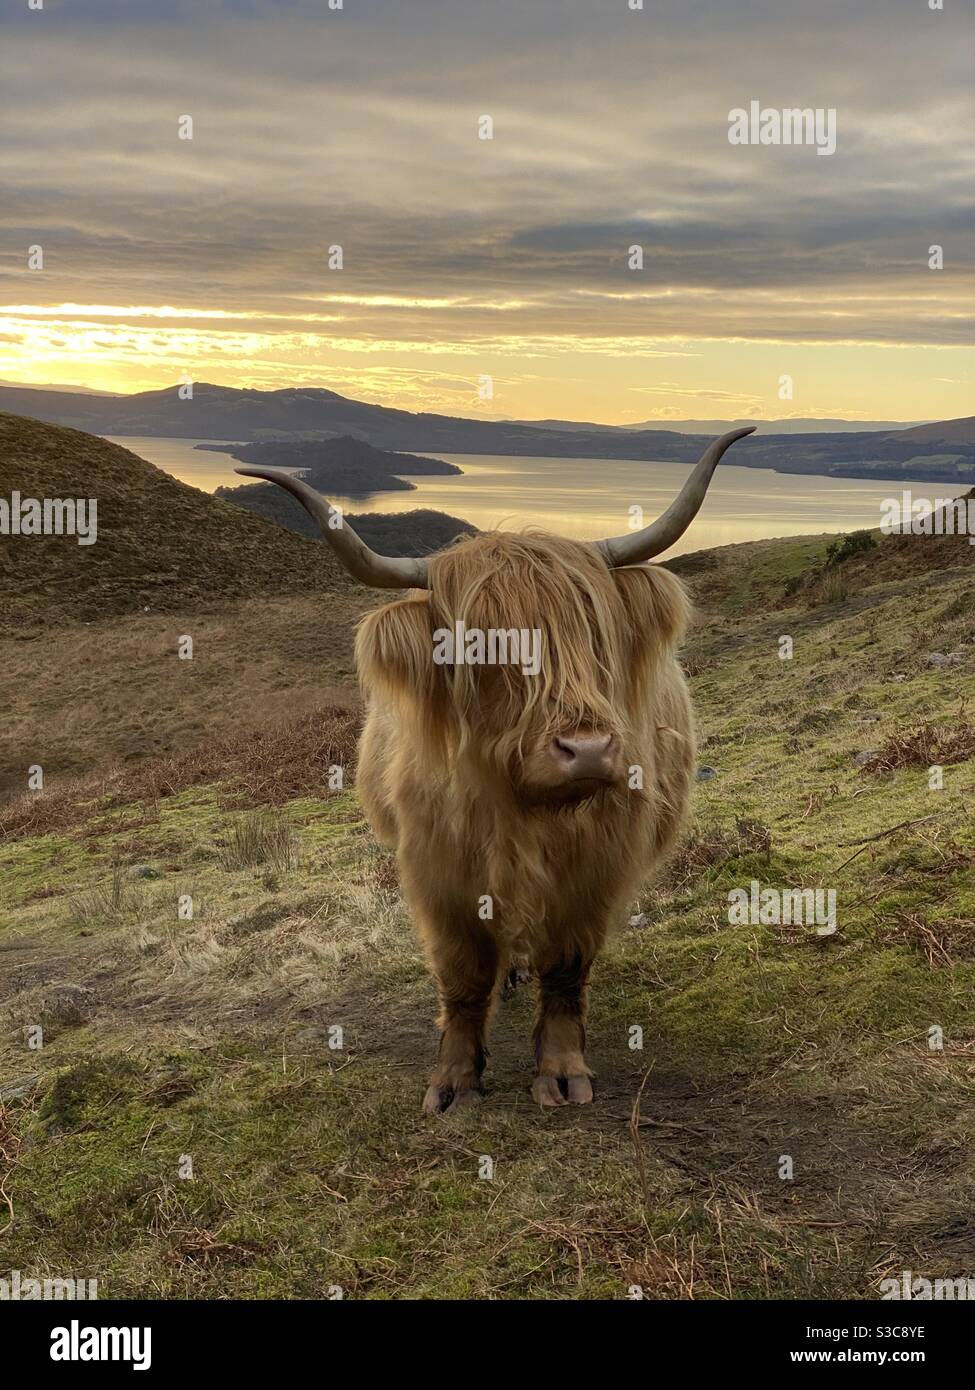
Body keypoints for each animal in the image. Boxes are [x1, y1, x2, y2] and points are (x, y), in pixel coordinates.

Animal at [236, 428, 751, 1112]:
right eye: (481, 647)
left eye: (594, 632)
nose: (588, 750)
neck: (519, 810)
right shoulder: (438, 872)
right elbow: (463, 976)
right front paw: (454, 1079)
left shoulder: (596, 866)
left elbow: (566, 969)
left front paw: (561, 1070)